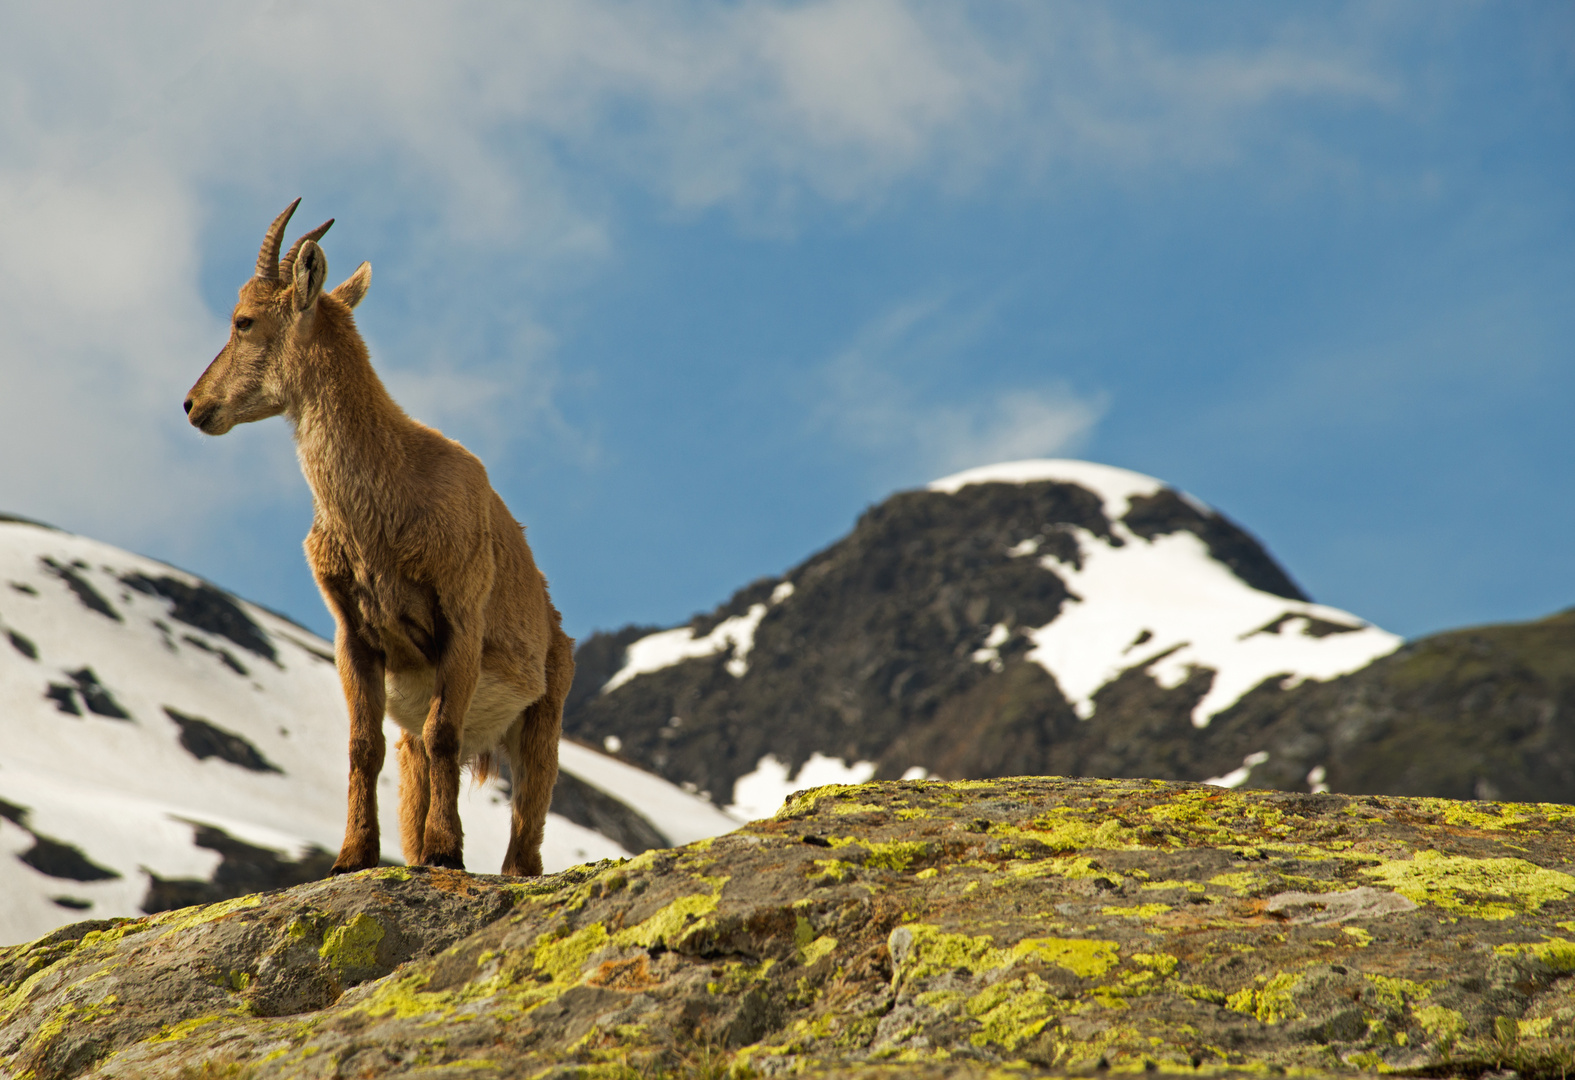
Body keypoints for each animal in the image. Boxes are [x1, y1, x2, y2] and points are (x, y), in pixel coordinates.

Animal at [184, 200, 576, 881]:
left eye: (243, 321)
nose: (193, 404)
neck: (386, 506)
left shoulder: (461, 619)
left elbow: (445, 731)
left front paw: (446, 851)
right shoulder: (354, 633)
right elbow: (362, 746)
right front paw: (351, 857)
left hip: (541, 719)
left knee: (524, 841)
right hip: (419, 738)